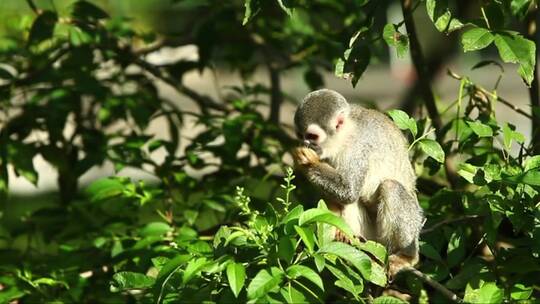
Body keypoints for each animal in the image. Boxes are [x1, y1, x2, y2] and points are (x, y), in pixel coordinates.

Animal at [294, 89, 424, 276]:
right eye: (300, 135)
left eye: (312, 136)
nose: (304, 143)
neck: (343, 137)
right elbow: (341, 195)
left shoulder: (358, 147)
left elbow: (349, 191)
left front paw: (307, 162)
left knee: (390, 187)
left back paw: (407, 257)